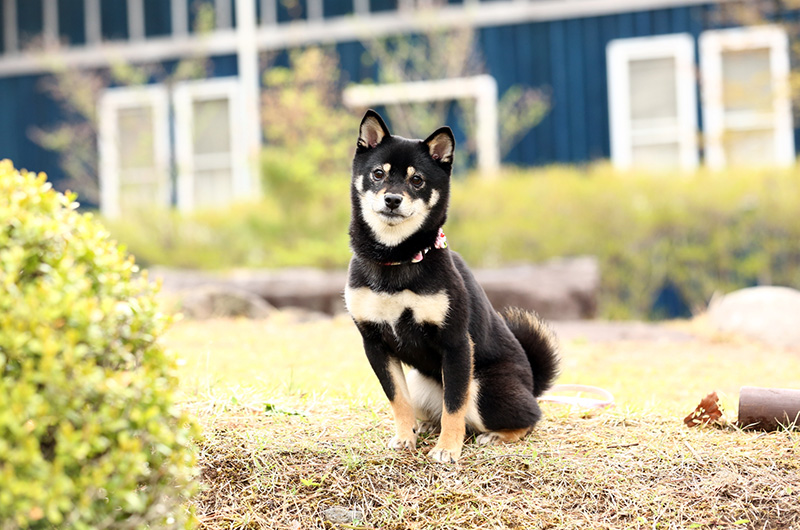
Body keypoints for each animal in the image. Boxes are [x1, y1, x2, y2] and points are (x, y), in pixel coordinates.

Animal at [346, 109, 564, 460]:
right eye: (378, 174)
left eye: (417, 180)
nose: (392, 199)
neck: (397, 258)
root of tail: (531, 384)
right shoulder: (375, 343)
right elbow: (398, 399)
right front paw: (404, 438)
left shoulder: (456, 344)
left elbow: (454, 405)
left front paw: (448, 449)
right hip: (421, 383)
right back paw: (423, 427)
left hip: (483, 387)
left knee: (530, 416)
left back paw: (497, 435)